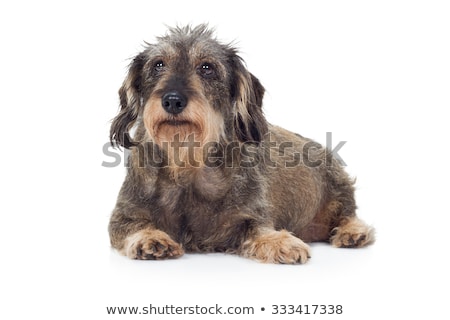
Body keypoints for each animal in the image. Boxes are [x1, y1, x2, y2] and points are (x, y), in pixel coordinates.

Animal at [107, 25, 374, 262]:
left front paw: (280, 241)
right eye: (158, 64)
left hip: (338, 187)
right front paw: (149, 238)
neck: (185, 161)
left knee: (347, 214)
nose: (173, 100)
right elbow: (131, 227)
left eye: (207, 68)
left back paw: (353, 232)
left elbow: (258, 229)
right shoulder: (123, 216)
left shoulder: (250, 214)